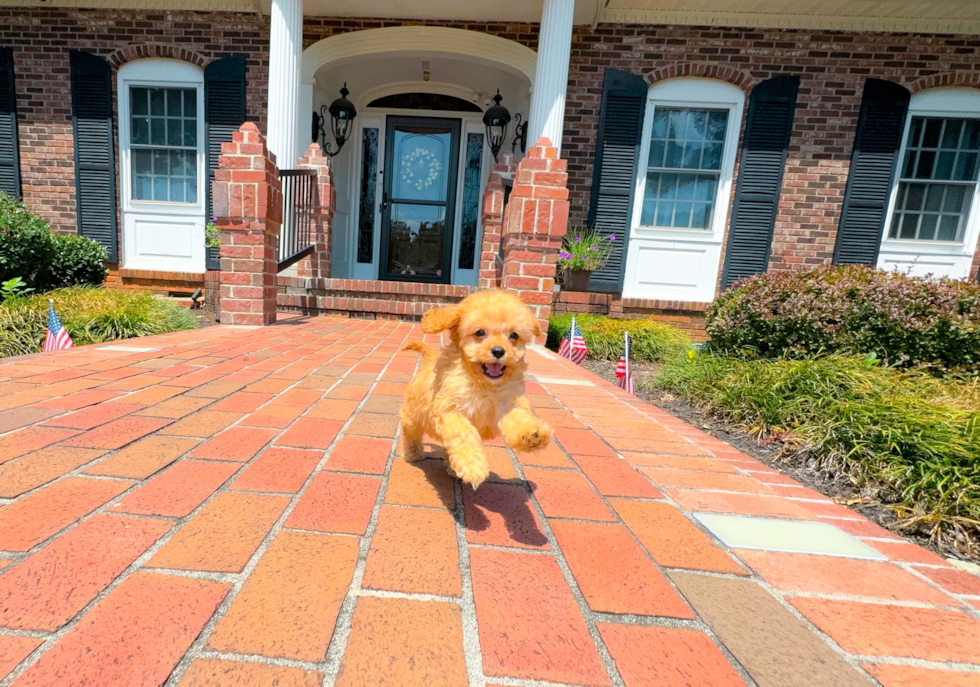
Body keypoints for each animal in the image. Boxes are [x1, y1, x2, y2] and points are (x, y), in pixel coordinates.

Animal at [398, 290, 552, 490]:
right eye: (480, 332)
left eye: (514, 335)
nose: (498, 351)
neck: (485, 384)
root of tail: (428, 362)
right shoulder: (449, 409)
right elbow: (463, 433)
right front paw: (472, 466)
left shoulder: (508, 402)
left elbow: (518, 417)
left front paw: (532, 435)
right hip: (412, 415)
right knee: (411, 434)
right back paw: (413, 453)